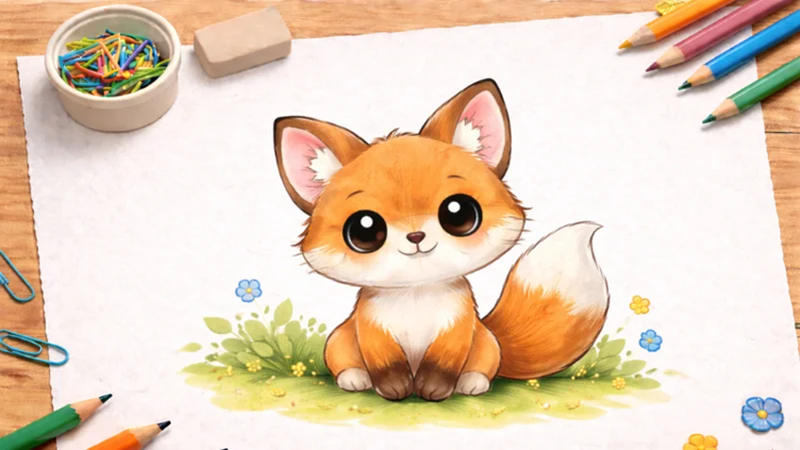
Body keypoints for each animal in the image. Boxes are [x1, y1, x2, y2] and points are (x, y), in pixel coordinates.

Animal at [273, 79, 609, 402]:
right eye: (364, 230)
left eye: (458, 213)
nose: (415, 235)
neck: (415, 295)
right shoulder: (372, 329)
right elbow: (387, 364)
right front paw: (394, 389)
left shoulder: (457, 328)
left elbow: (441, 365)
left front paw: (433, 390)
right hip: (340, 340)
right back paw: (354, 378)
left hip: (486, 342)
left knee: (482, 366)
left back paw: (472, 383)